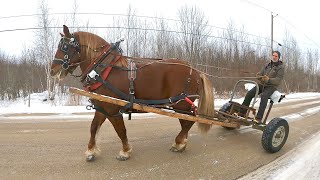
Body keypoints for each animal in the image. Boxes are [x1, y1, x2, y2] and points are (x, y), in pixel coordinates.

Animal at [50, 24, 215, 161]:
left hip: (181, 104)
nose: (52, 71)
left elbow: (121, 130)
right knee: (187, 122)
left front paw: (125, 151)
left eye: (64, 46)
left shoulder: (113, 110)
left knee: (189, 121)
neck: (104, 70)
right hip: (181, 105)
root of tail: (196, 71)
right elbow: (93, 127)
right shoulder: (102, 106)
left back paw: (179, 143)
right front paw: (91, 151)